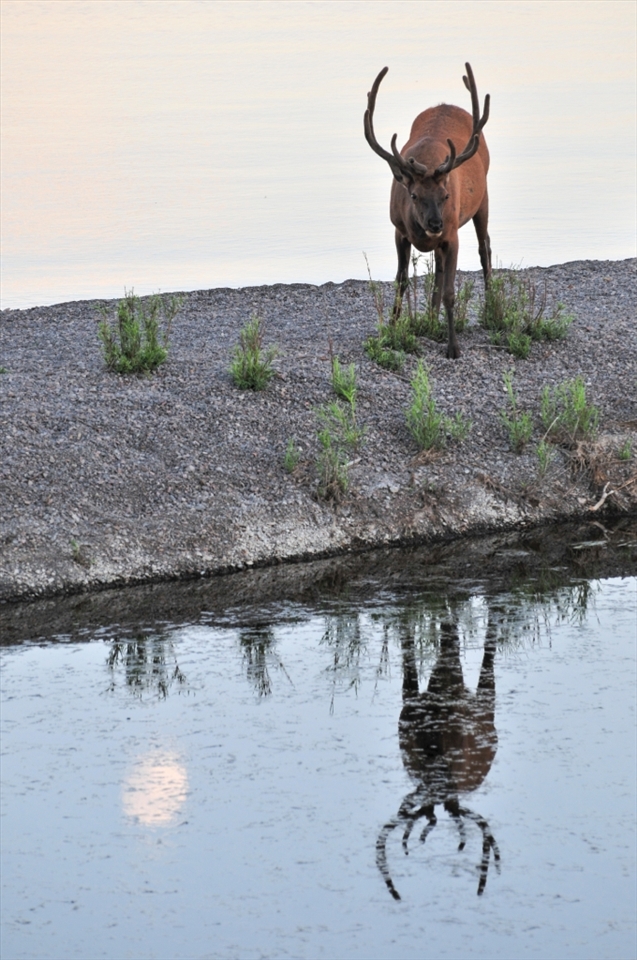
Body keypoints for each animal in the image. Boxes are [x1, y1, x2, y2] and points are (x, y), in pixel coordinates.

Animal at [364, 63, 491, 359]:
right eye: (414, 195)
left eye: (445, 195)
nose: (435, 224)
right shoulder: (399, 231)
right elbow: (402, 281)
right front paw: (392, 328)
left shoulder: (452, 234)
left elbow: (450, 293)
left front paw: (453, 347)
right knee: (440, 268)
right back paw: (432, 319)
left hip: (483, 198)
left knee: (485, 248)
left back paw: (493, 307)